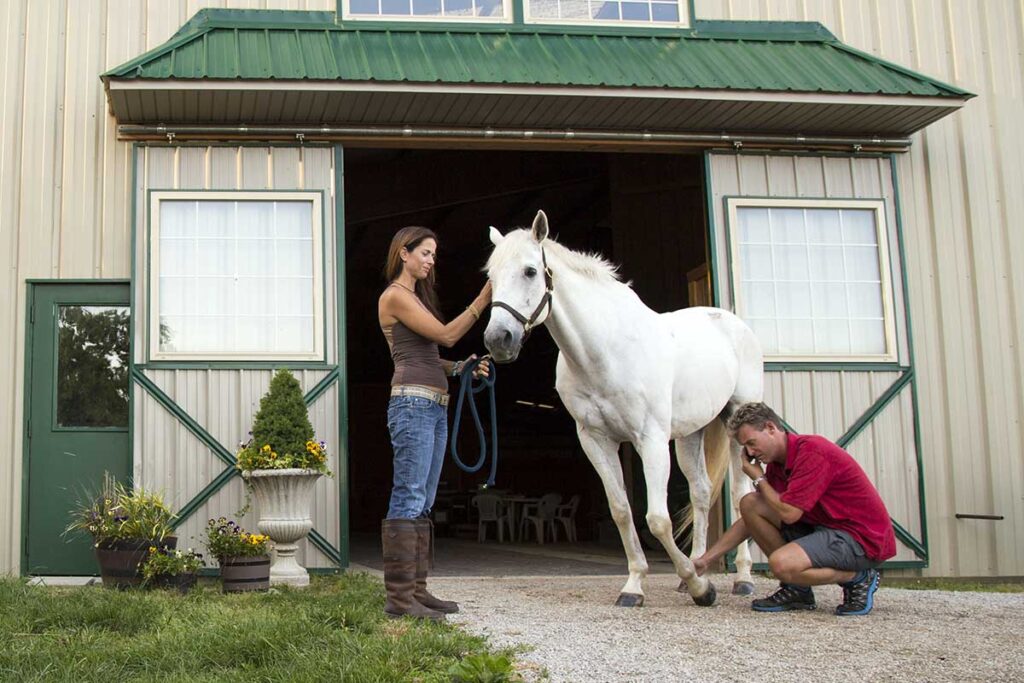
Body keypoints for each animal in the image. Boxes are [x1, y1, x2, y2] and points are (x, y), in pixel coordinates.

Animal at [483, 210, 763, 607]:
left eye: (530, 271)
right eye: (491, 277)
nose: (498, 340)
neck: (605, 350)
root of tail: (733, 323)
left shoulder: (651, 441)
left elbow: (657, 519)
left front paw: (700, 588)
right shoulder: (596, 441)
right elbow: (621, 512)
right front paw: (635, 585)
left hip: (737, 423)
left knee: (741, 496)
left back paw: (742, 578)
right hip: (690, 435)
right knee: (701, 493)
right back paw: (698, 567)